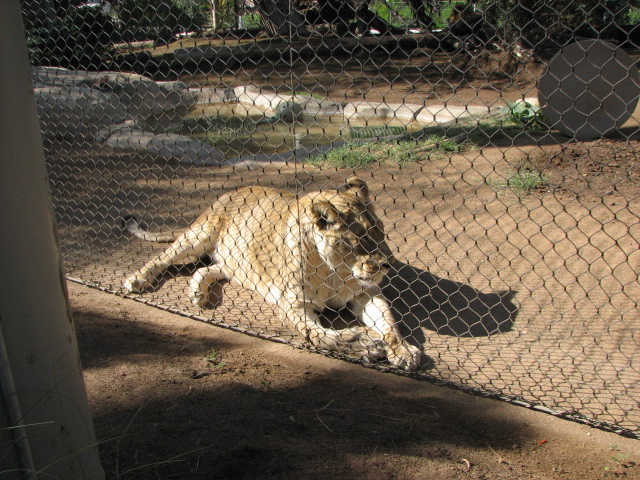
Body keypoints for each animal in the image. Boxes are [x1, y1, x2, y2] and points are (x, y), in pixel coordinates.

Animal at [123, 177, 421, 370]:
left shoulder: (365, 293)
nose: (389, 264)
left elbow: (389, 323)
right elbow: (319, 336)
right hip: (199, 234)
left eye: (381, 232)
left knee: (209, 268)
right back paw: (137, 279)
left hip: (237, 262)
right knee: (162, 257)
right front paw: (363, 343)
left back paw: (198, 291)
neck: (335, 271)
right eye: (361, 239)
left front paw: (404, 351)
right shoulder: (292, 304)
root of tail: (235, 189)